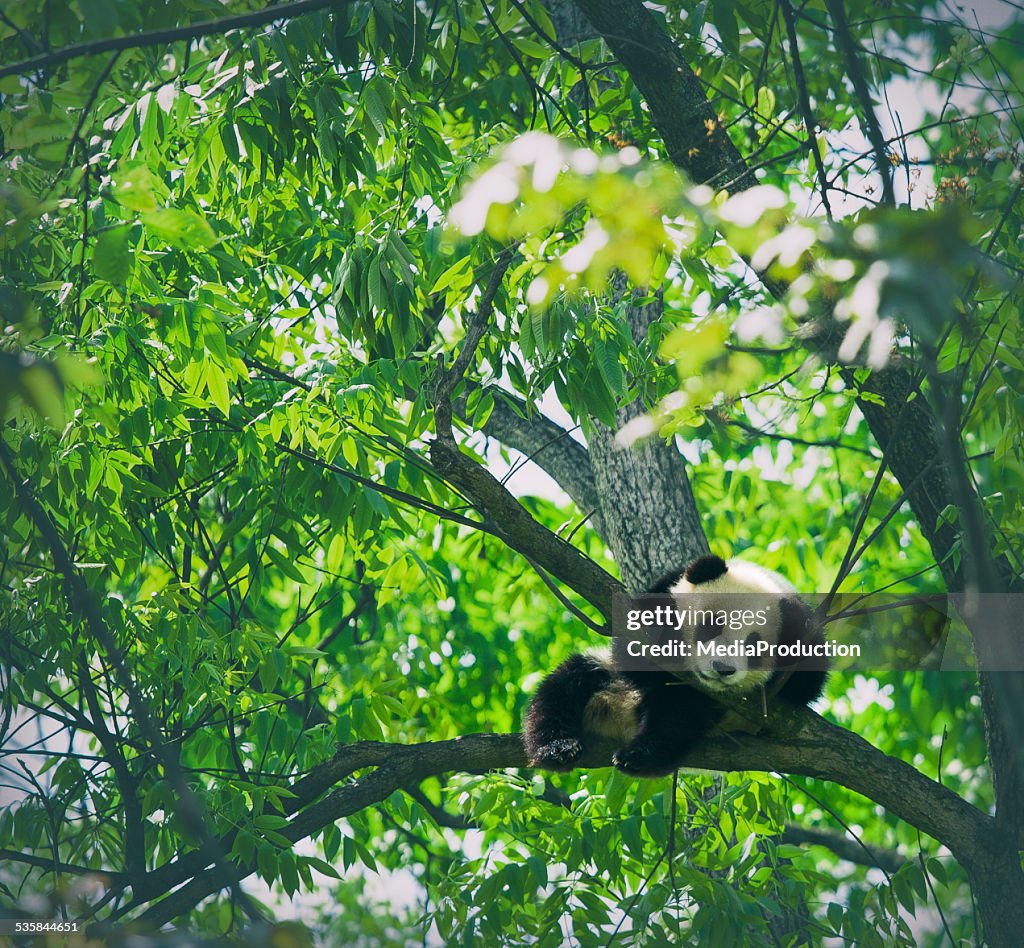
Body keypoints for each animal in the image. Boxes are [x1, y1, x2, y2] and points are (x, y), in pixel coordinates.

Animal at [524, 556, 827, 778]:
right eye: (712, 625)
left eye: (752, 645)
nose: (722, 668)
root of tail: (622, 717)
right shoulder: (663, 587)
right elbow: (632, 647)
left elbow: (808, 683)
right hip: (605, 677)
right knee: (566, 686)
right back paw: (557, 748)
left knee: (677, 719)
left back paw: (637, 756)